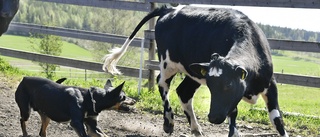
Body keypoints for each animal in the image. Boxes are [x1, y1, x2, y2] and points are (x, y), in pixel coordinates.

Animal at [102, 4, 288, 136]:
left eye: (228, 85)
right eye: (211, 87)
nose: (213, 117)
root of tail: (169, 9)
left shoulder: (270, 85)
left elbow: (277, 120)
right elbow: (233, 117)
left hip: (192, 72)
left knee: (183, 92)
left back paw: (196, 128)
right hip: (168, 63)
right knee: (162, 84)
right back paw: (169, 122)